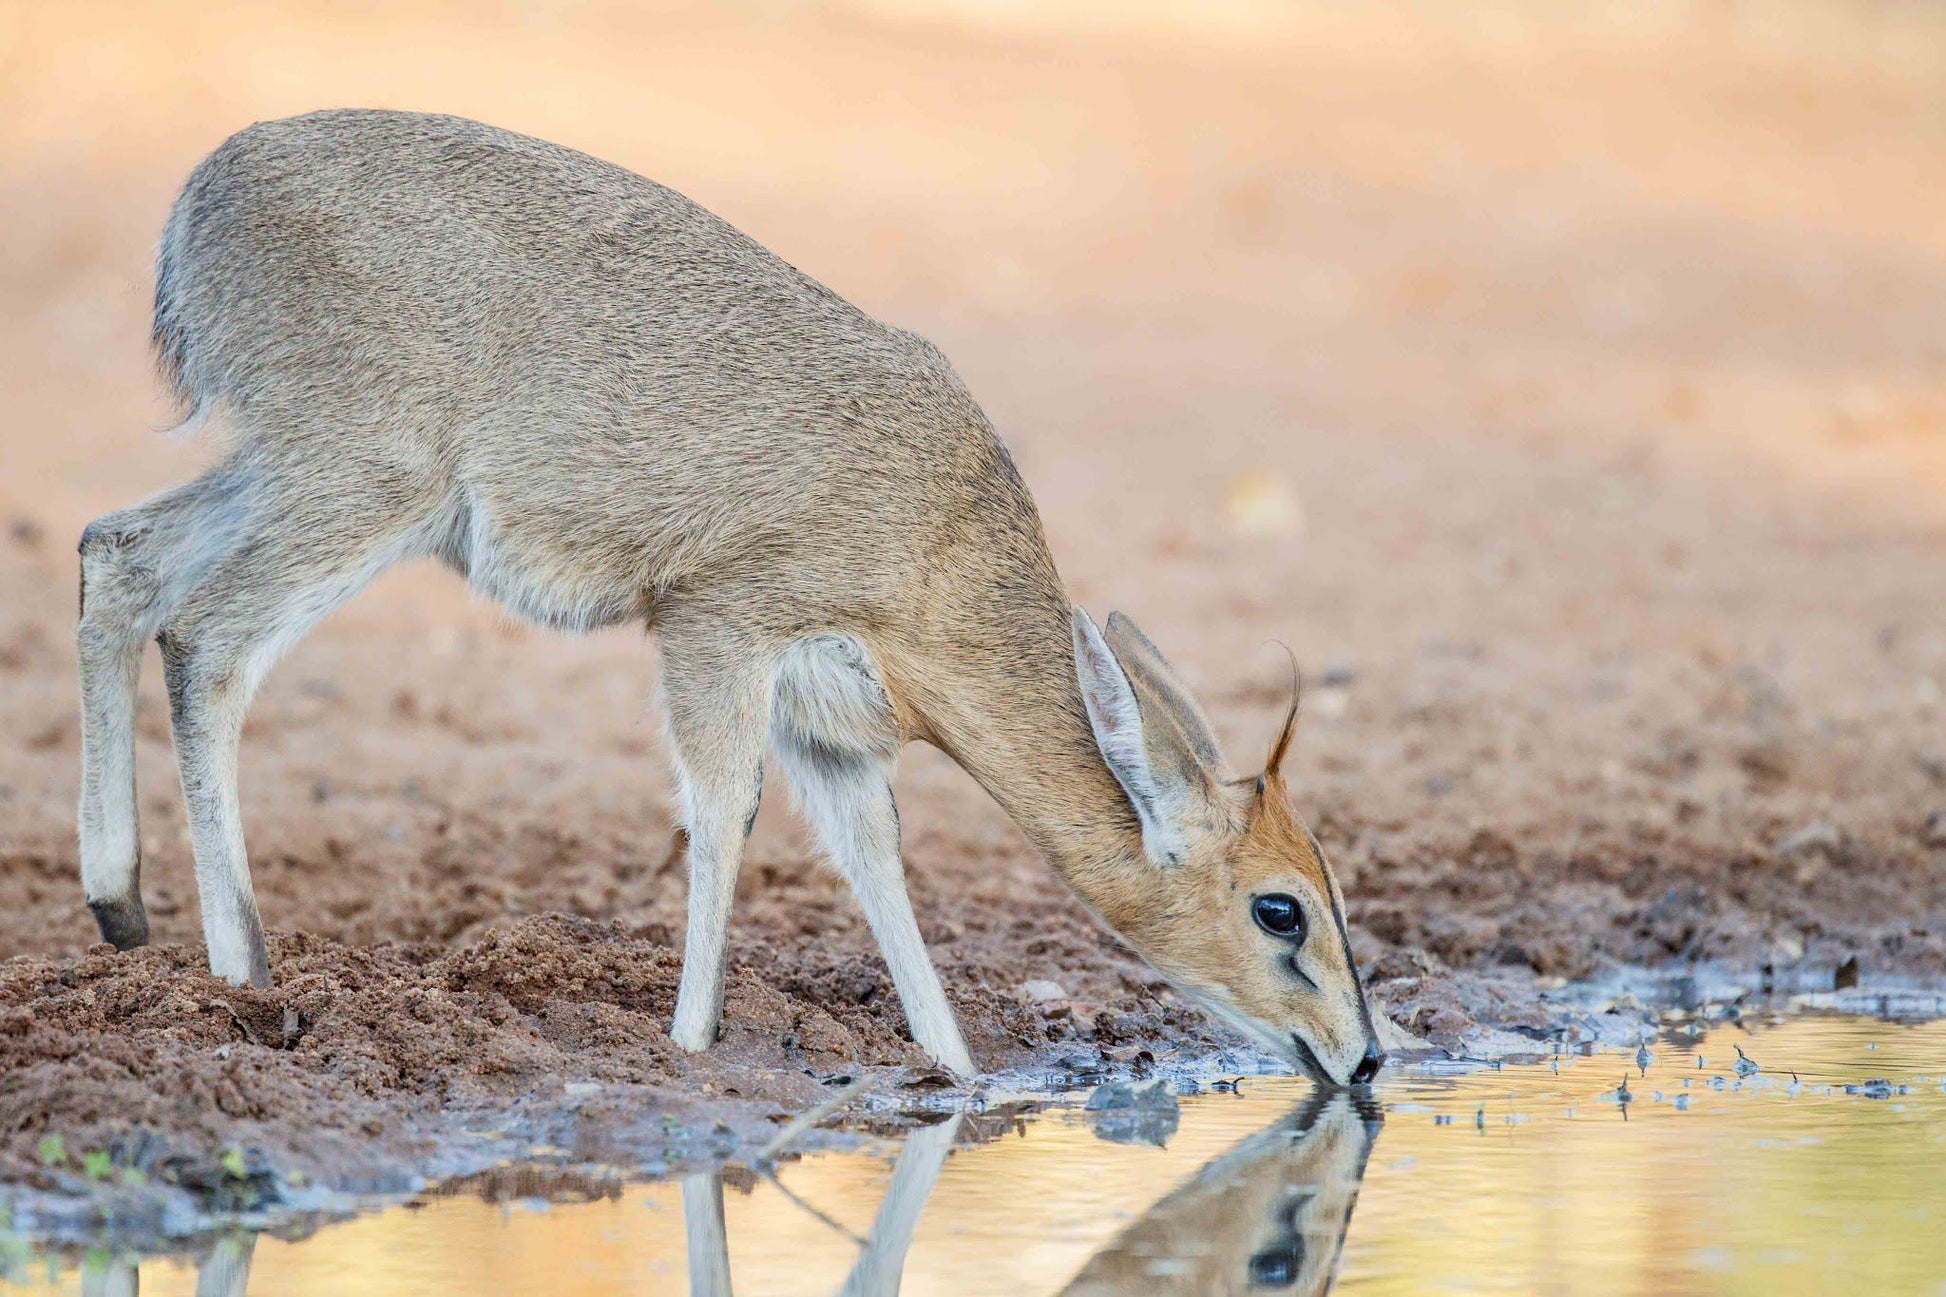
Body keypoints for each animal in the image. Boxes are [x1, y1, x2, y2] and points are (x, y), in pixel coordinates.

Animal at [75, 108, 1385, 1082]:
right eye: (1278, 909)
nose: (1364, 1058)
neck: (940, 538)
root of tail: (201, 195)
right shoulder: (717, 625)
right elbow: (722, 812)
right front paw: (693, 1044)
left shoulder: (832, 726)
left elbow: (873, 859)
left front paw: (957, 1072)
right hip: (362, 488)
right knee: (205, 639)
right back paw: (242, 970)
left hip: (290, 475)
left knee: (116, 551)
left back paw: (119, 905)